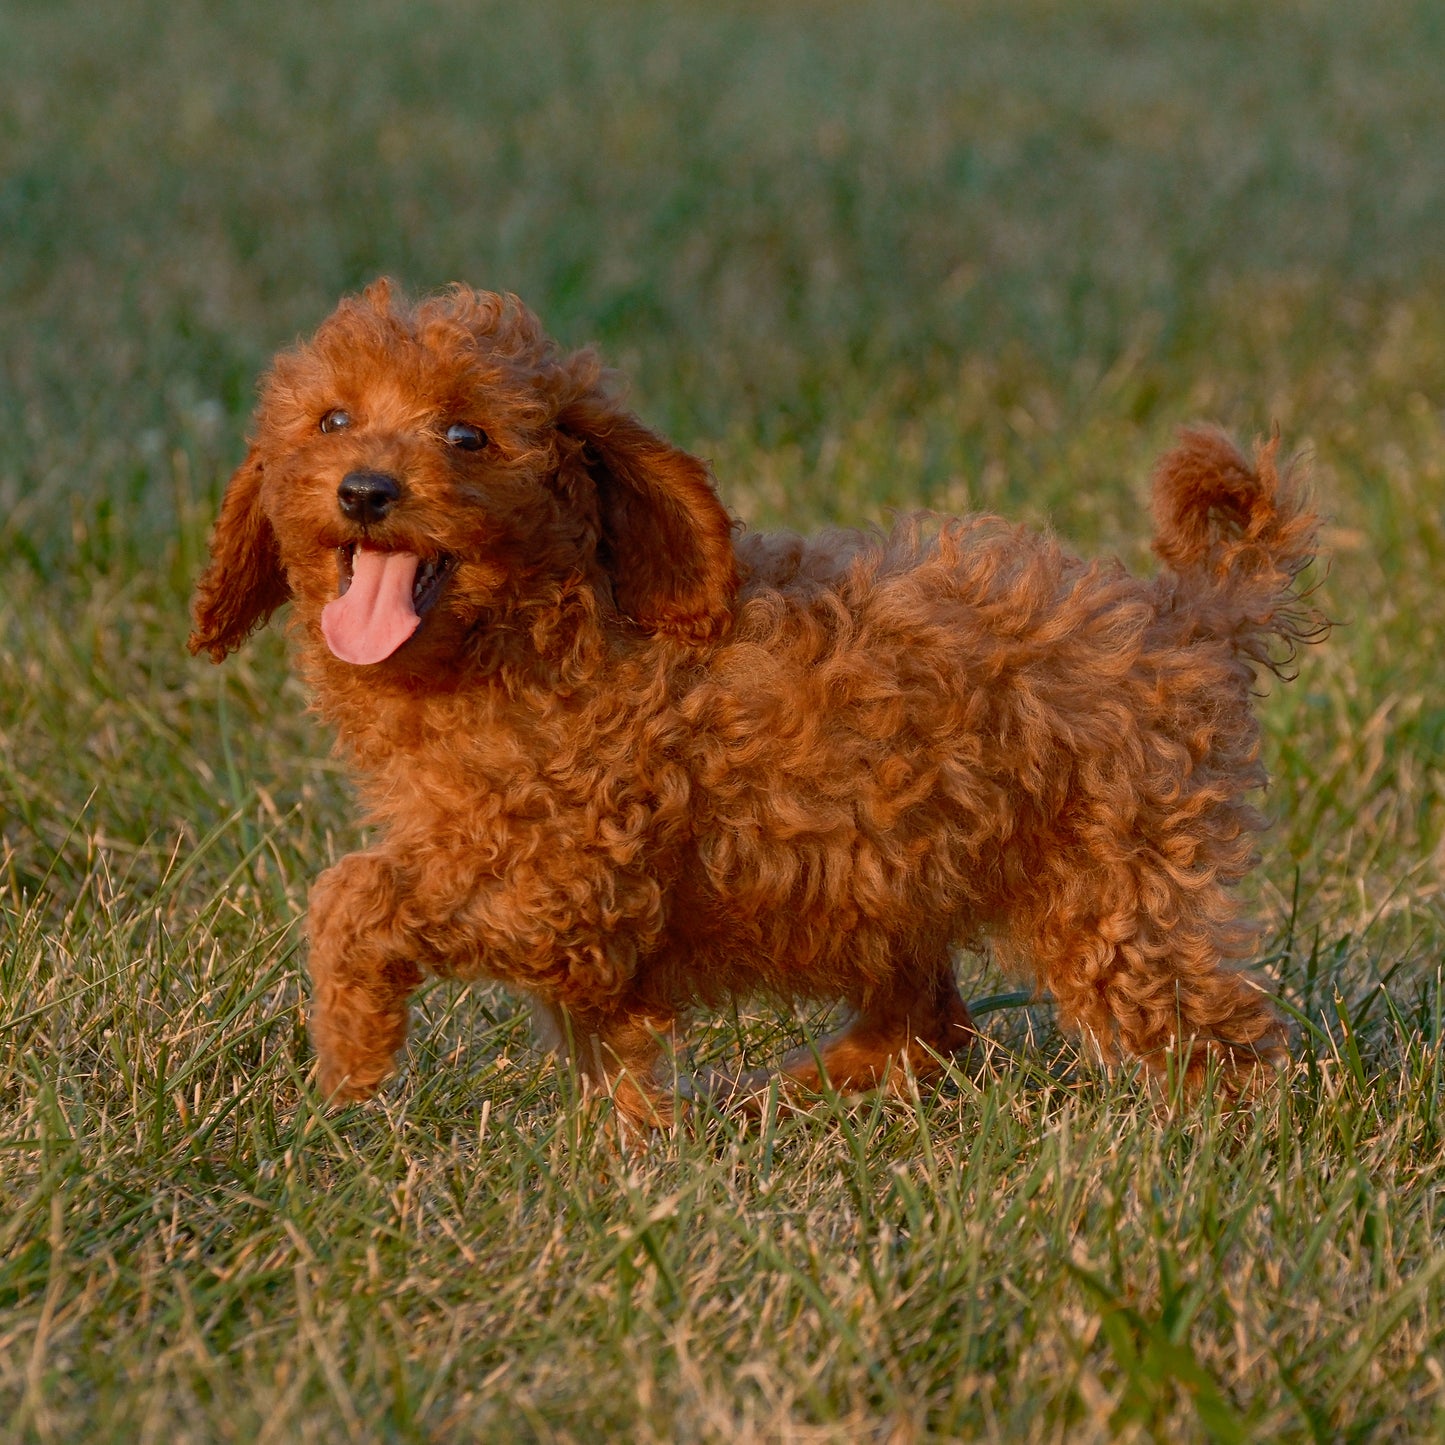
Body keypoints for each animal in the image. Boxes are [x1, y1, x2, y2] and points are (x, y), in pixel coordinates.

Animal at [189, 275, 1323, 1121]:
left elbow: (352, 893)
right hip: (898, 883)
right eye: (332, 420)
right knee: (927, 1023)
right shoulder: (586, 933)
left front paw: (351, 1053)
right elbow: (607, 1053)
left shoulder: (568, 879)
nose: (365, 489)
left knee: (1223, 1036)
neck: (528, 632)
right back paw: (786, 1095)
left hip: (1117, 889)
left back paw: (1228, 1151)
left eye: (467, 435)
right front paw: (629, 1154)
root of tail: (1187, 613)